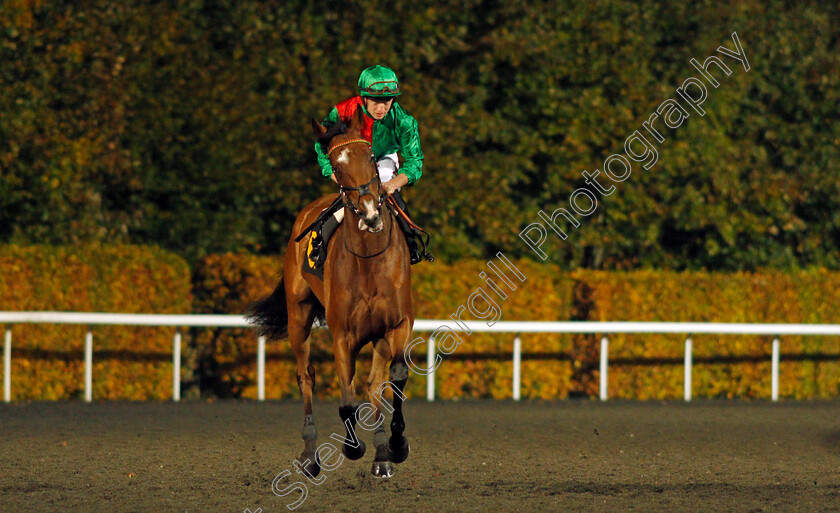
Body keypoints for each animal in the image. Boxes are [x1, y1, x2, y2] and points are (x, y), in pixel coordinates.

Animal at [246, 106, 414, 478]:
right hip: (298, 314)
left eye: (371, 156)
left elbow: (392, 379)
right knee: (305, 375)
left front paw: (394, 447)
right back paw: (310, 455)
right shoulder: (342, 333)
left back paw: (381, 453)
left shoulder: (397, 325)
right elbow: (345, 393)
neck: (368, 260)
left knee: (374, 383)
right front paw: (353, 447)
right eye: (336, 166)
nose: (370, 213)